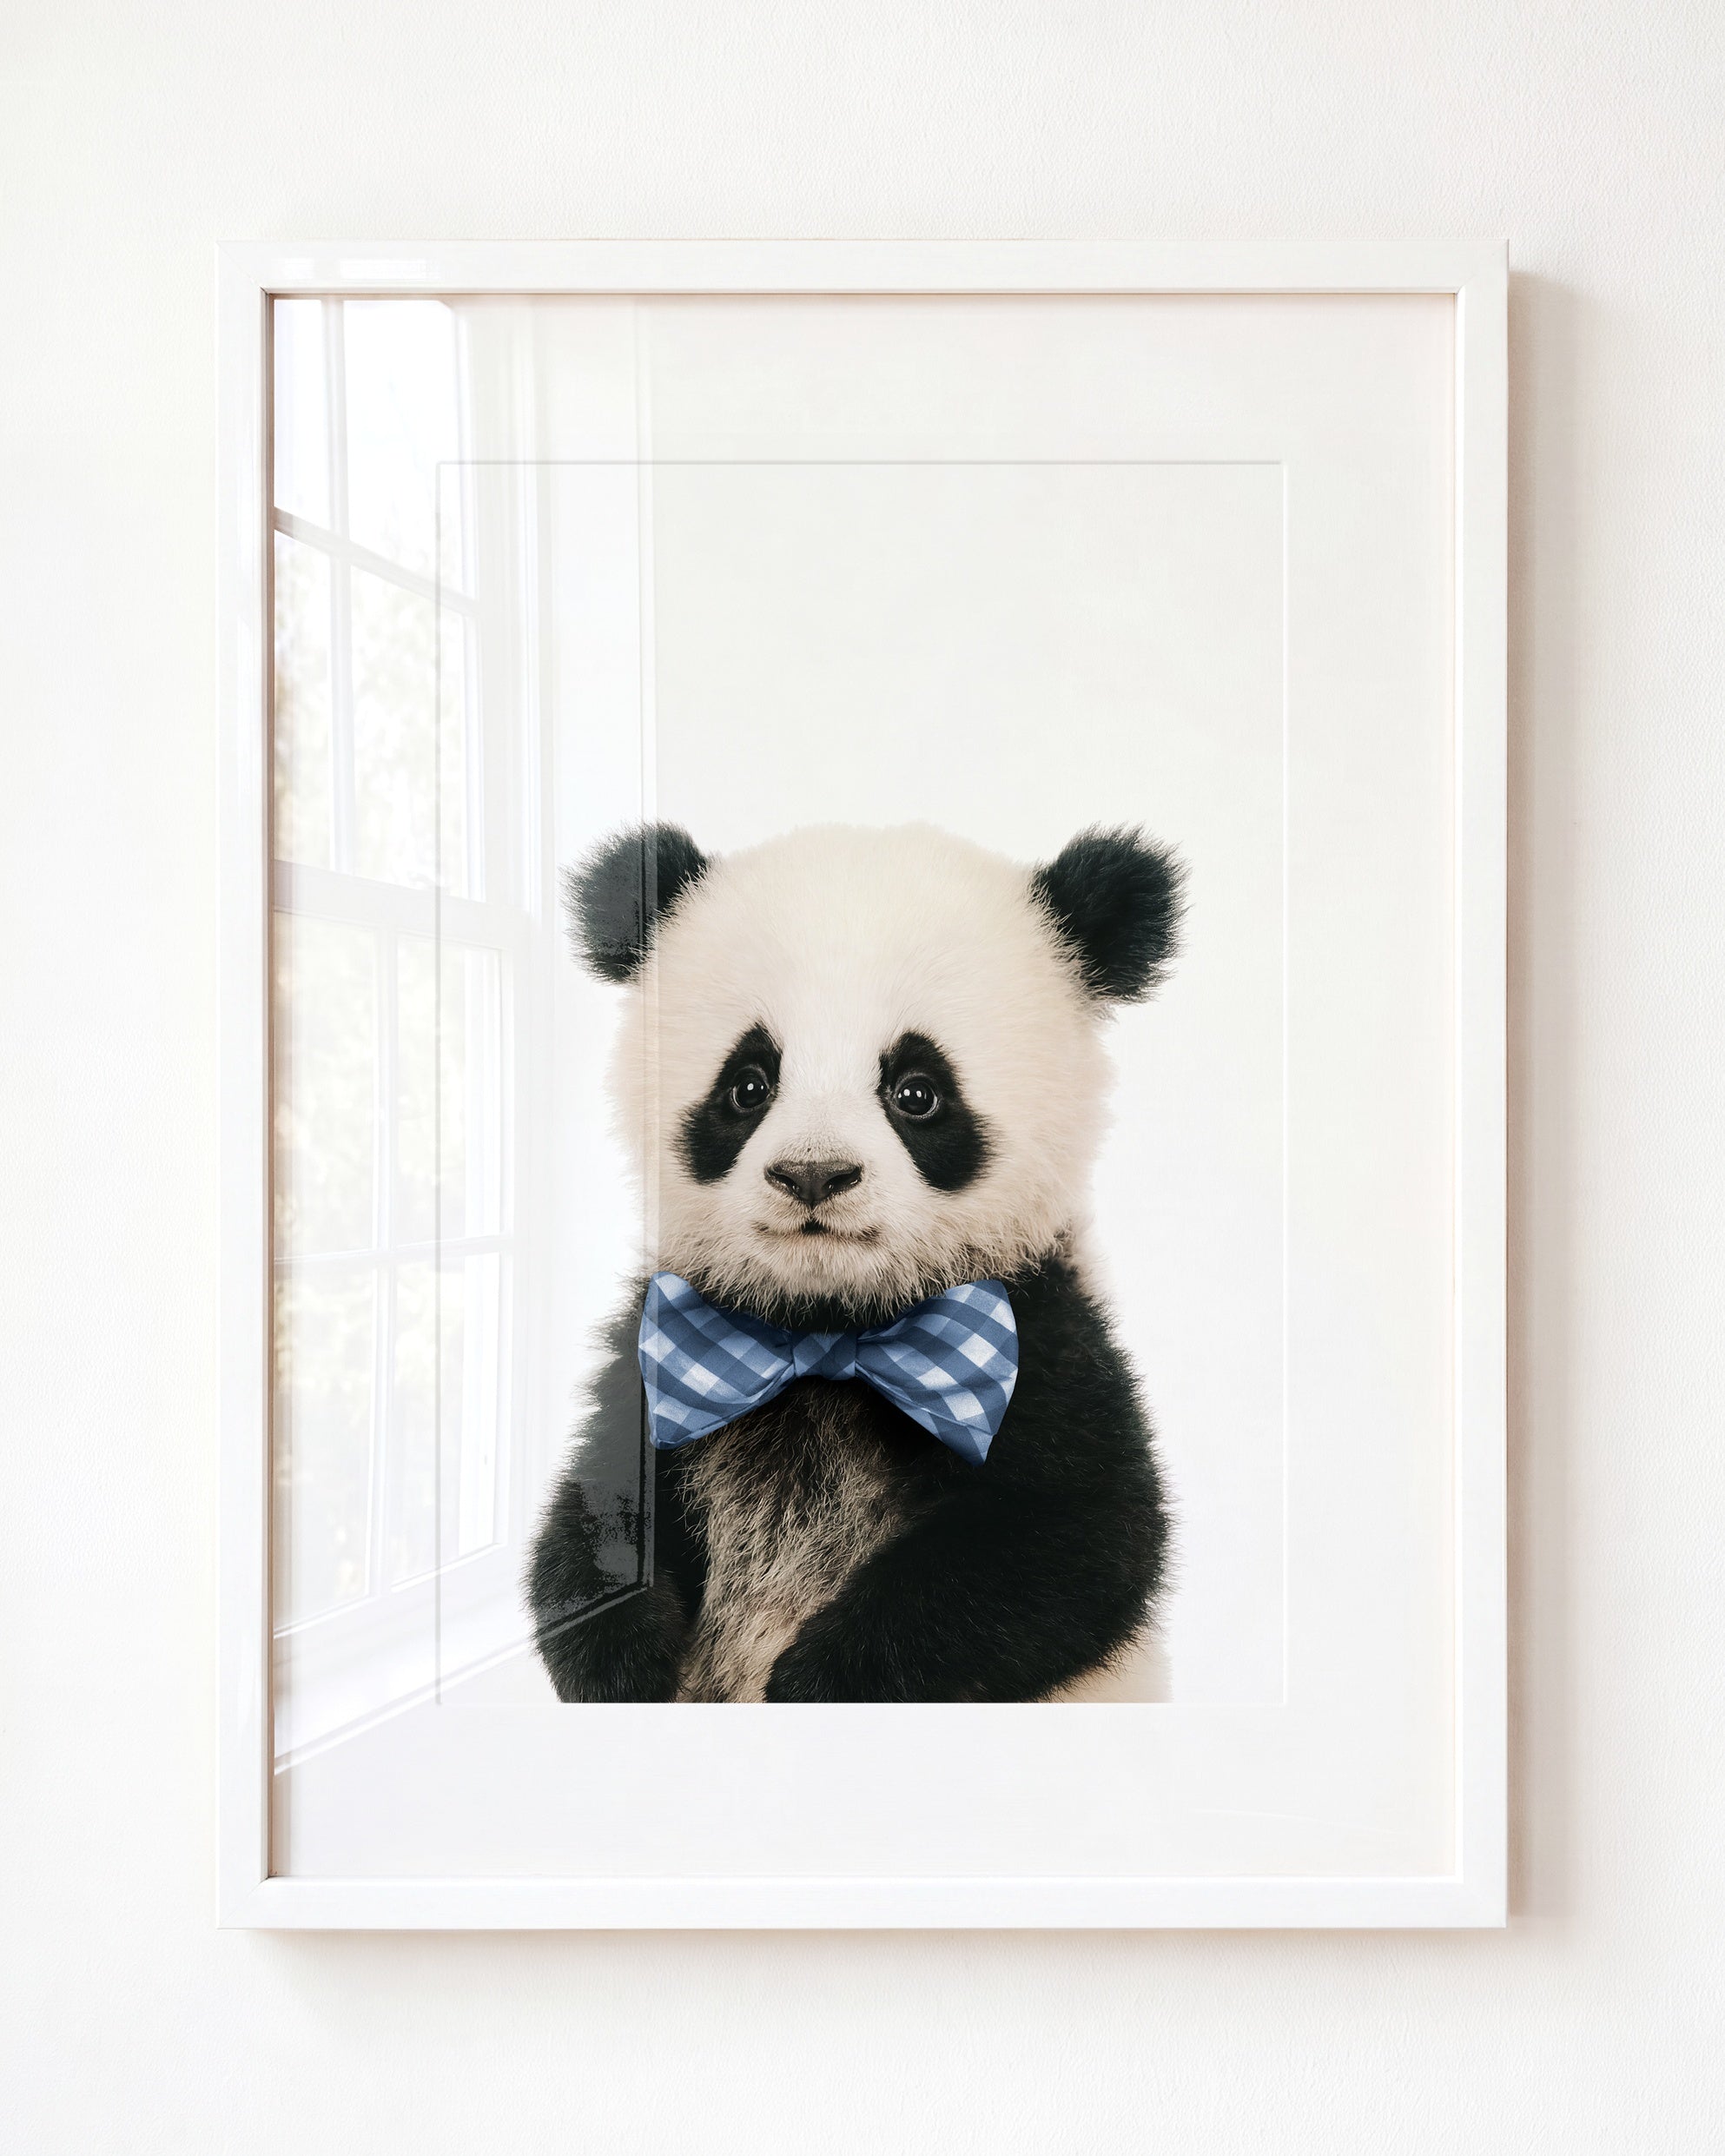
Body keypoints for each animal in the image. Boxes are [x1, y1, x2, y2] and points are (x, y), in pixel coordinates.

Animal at [527, 818, 1183, 1703]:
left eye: (917, 1091)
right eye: (748, 1085)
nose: (814, 1174)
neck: (828, 1332)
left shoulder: (1045, 1339)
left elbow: (1075, 1540)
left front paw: (817, 1680)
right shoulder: (660, 1347)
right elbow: (591, 1515)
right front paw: (624, 1663)